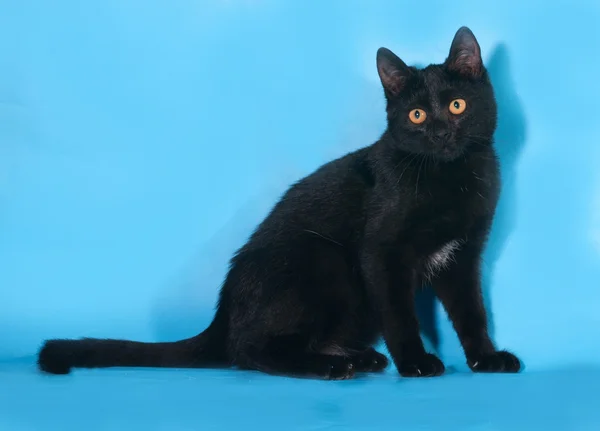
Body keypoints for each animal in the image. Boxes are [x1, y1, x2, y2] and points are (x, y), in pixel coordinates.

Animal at [37, 27, 520, 380]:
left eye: (456, 106)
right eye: (417, 115)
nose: (439, 133)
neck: (449, 177)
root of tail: (223, 314)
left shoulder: (463, 254)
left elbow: (472, 312)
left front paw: (486, 357)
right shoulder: (382, 255)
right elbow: (401, 315)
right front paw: (416, 362)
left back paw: (359, 357)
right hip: (323, 257)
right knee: (249, 351)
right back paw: (333, 367)